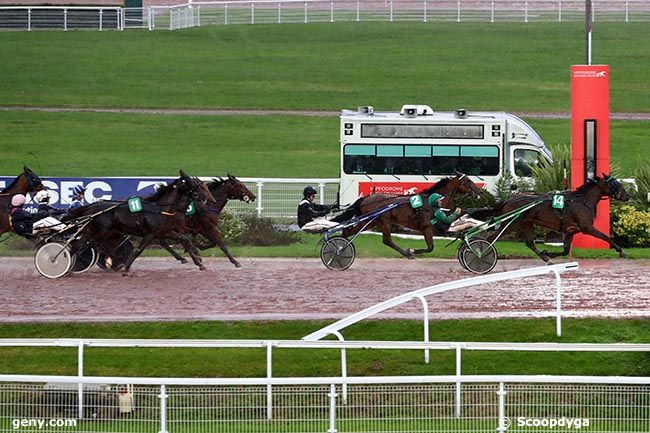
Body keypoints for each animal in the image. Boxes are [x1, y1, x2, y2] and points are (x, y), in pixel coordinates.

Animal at [332, 173, 484, 256]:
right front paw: (412, 251)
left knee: (347, 232)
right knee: (387, 240)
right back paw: (406, 253)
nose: (480, 193)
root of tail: (366, 198)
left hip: (371, 221)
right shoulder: (427, 228)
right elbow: (430, 248)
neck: (432, 203)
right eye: (468, 180)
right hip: (383, 220)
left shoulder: (441, 229)